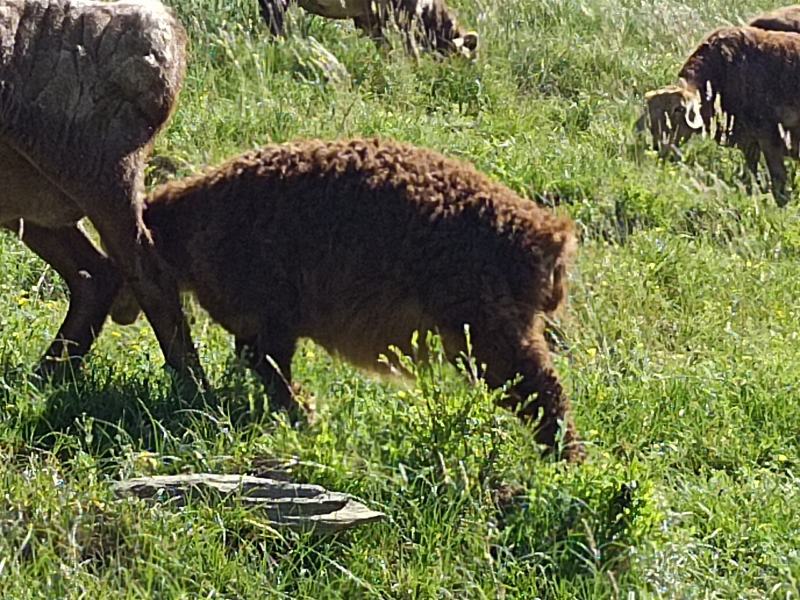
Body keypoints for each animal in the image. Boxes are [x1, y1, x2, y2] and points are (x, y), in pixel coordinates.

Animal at [0, 0, 205, 384]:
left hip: (100, 173)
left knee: (150, 275)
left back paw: (192, 387)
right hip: (31, 196)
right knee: (95, 274)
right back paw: (48, 375)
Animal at [644, 25, 800, 205]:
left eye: (677, 110)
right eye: (650, 116)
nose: (658, 148)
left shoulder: (769, 137)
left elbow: (778, 175)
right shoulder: (749, 141)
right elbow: (753, 171)